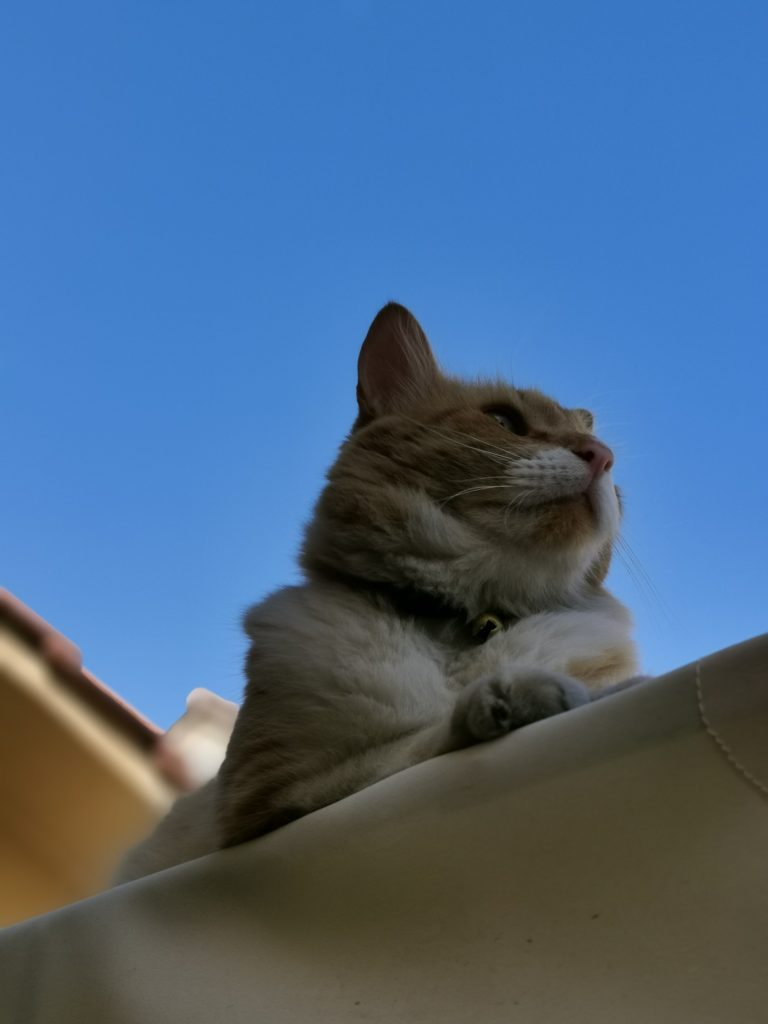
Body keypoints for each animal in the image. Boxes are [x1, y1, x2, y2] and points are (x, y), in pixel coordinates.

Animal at [115, 302, 639, 883]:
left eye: (614, 467)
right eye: (503, 421)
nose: (602, 455)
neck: (465, 621)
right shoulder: (268, 801)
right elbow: (406, 750)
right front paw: (525, 697)